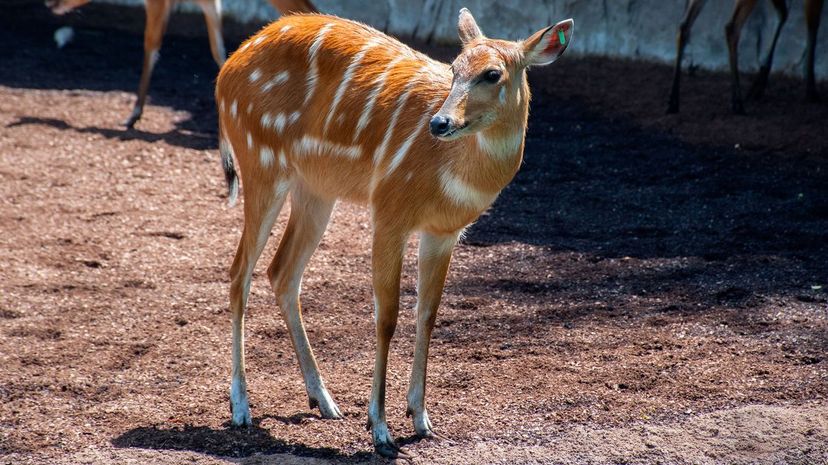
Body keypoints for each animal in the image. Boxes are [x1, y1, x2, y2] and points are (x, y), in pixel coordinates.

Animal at [215, 6, 568, 456]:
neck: (450, 176)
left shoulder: (444, 231)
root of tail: (225, 72)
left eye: (492, 74)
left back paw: (324, 400)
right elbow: (387, 316)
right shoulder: (388, 210)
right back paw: (241, 407)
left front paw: (421, 419)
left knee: (281, 272)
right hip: (260, 162)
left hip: (315, 189)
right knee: (238, 272)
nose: (440, 122)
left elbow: (428, 313)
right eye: (454, 67)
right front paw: (380, 429)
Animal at [668, 0, 824, 113]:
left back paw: (673, 102)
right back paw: (738, 103)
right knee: (732, 27)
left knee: (684, 25)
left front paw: (759, 85)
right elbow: (813, 25)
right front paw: (811, 91)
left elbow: (784, 14)